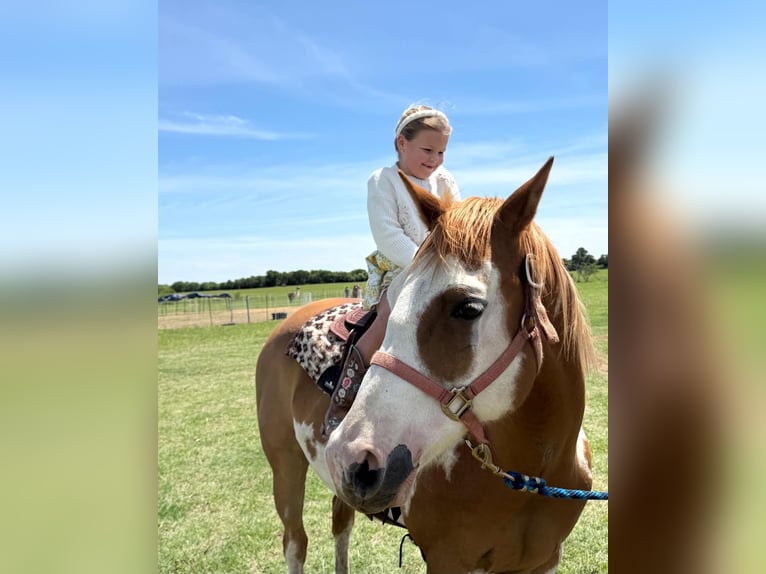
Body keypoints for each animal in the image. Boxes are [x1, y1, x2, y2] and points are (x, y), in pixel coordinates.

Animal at [255, 157, 599, 573]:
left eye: (467, 308)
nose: (352, 456)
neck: (532, 474)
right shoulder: (446, 558)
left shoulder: (544, 560)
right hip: (285, 465)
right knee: (295, 542)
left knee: (341, 525)